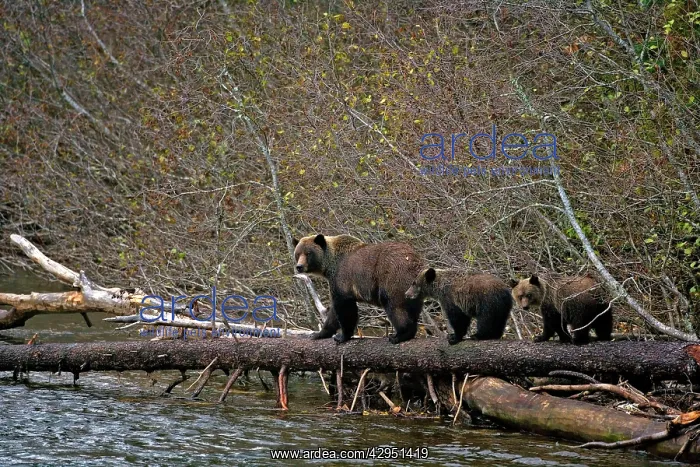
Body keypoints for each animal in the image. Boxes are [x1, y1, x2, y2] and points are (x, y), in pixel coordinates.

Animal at [293, 234, 425, 344]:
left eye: (308, 253)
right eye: (298, 253)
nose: (299, 266)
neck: (329, 267)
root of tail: (417, 262)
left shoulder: (342, 278)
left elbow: (344, 307)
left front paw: (342, 336)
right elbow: (334, 312)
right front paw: (319, 334)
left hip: (393, 278)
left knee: (395, 307)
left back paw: (399, 335)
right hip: (413, 288)